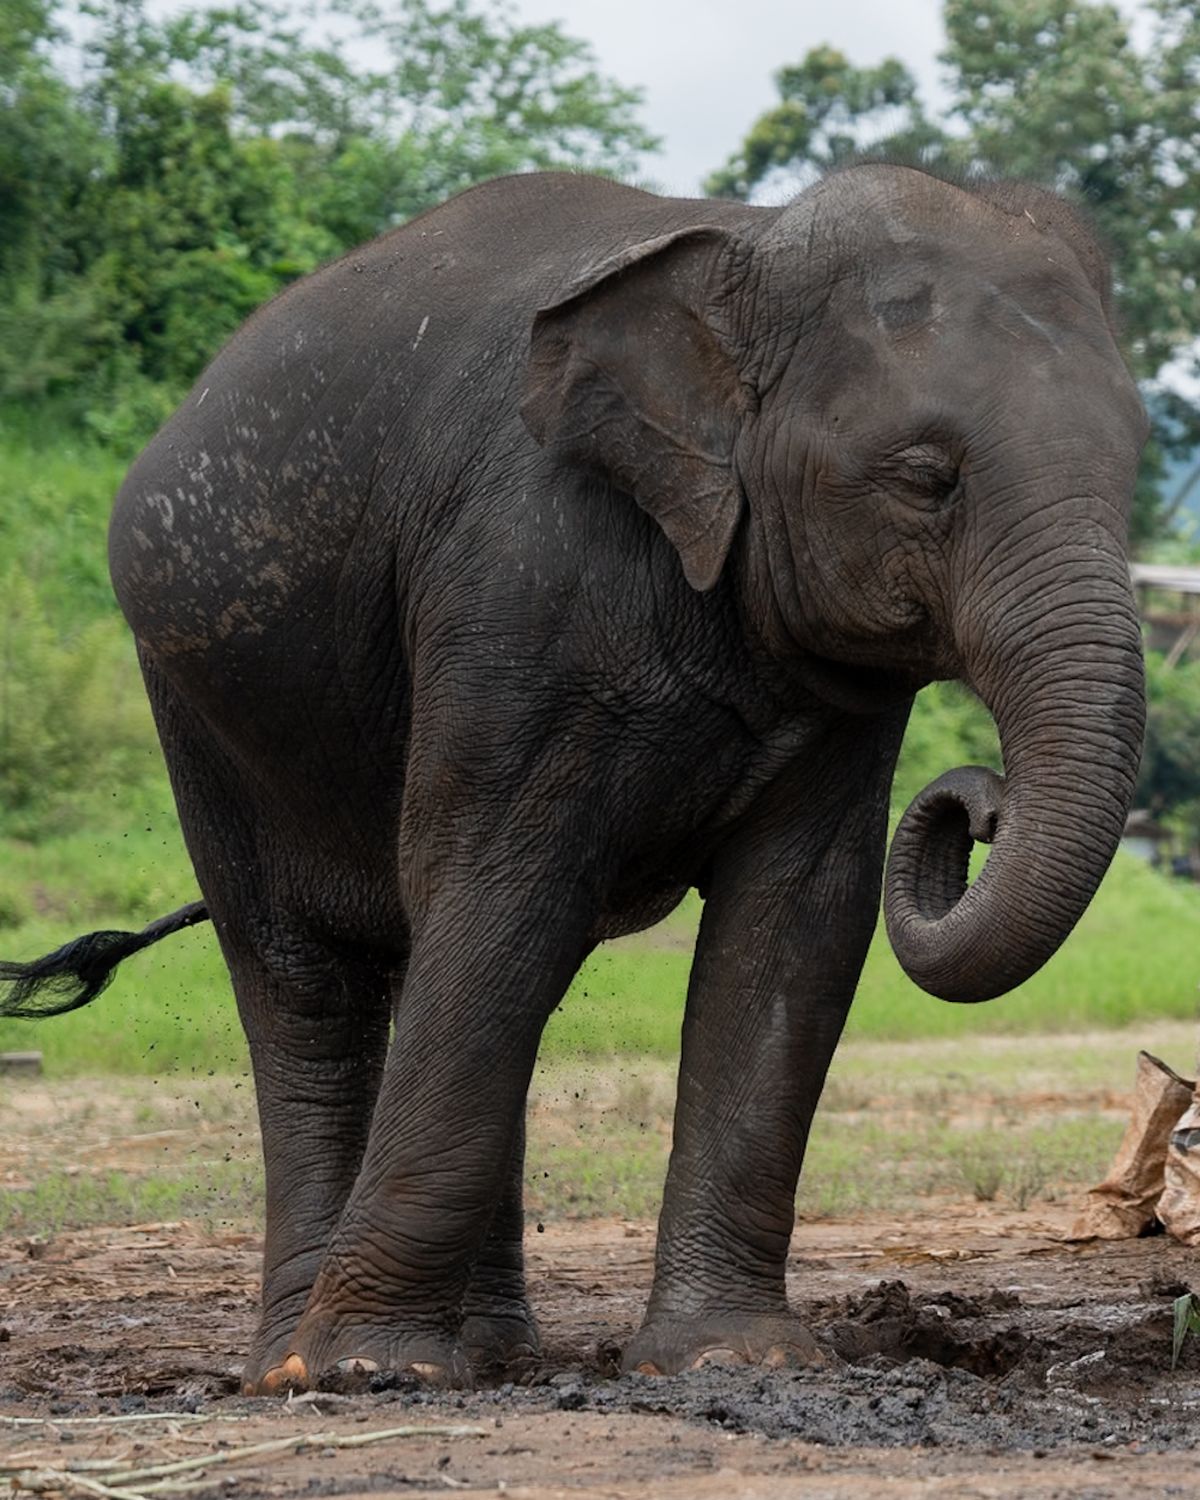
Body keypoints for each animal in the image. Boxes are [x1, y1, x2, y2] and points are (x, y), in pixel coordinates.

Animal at [0, 165, 1147, 1392]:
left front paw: (732, 1360)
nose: (977, 805)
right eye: (928, 479)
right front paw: (370, 1371)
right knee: (317, 979)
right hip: (200, 706)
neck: (748, 250)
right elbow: (503, 895)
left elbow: (794, 928)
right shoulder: (520, 581)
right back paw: (297, 1370)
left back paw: (487, 1350)